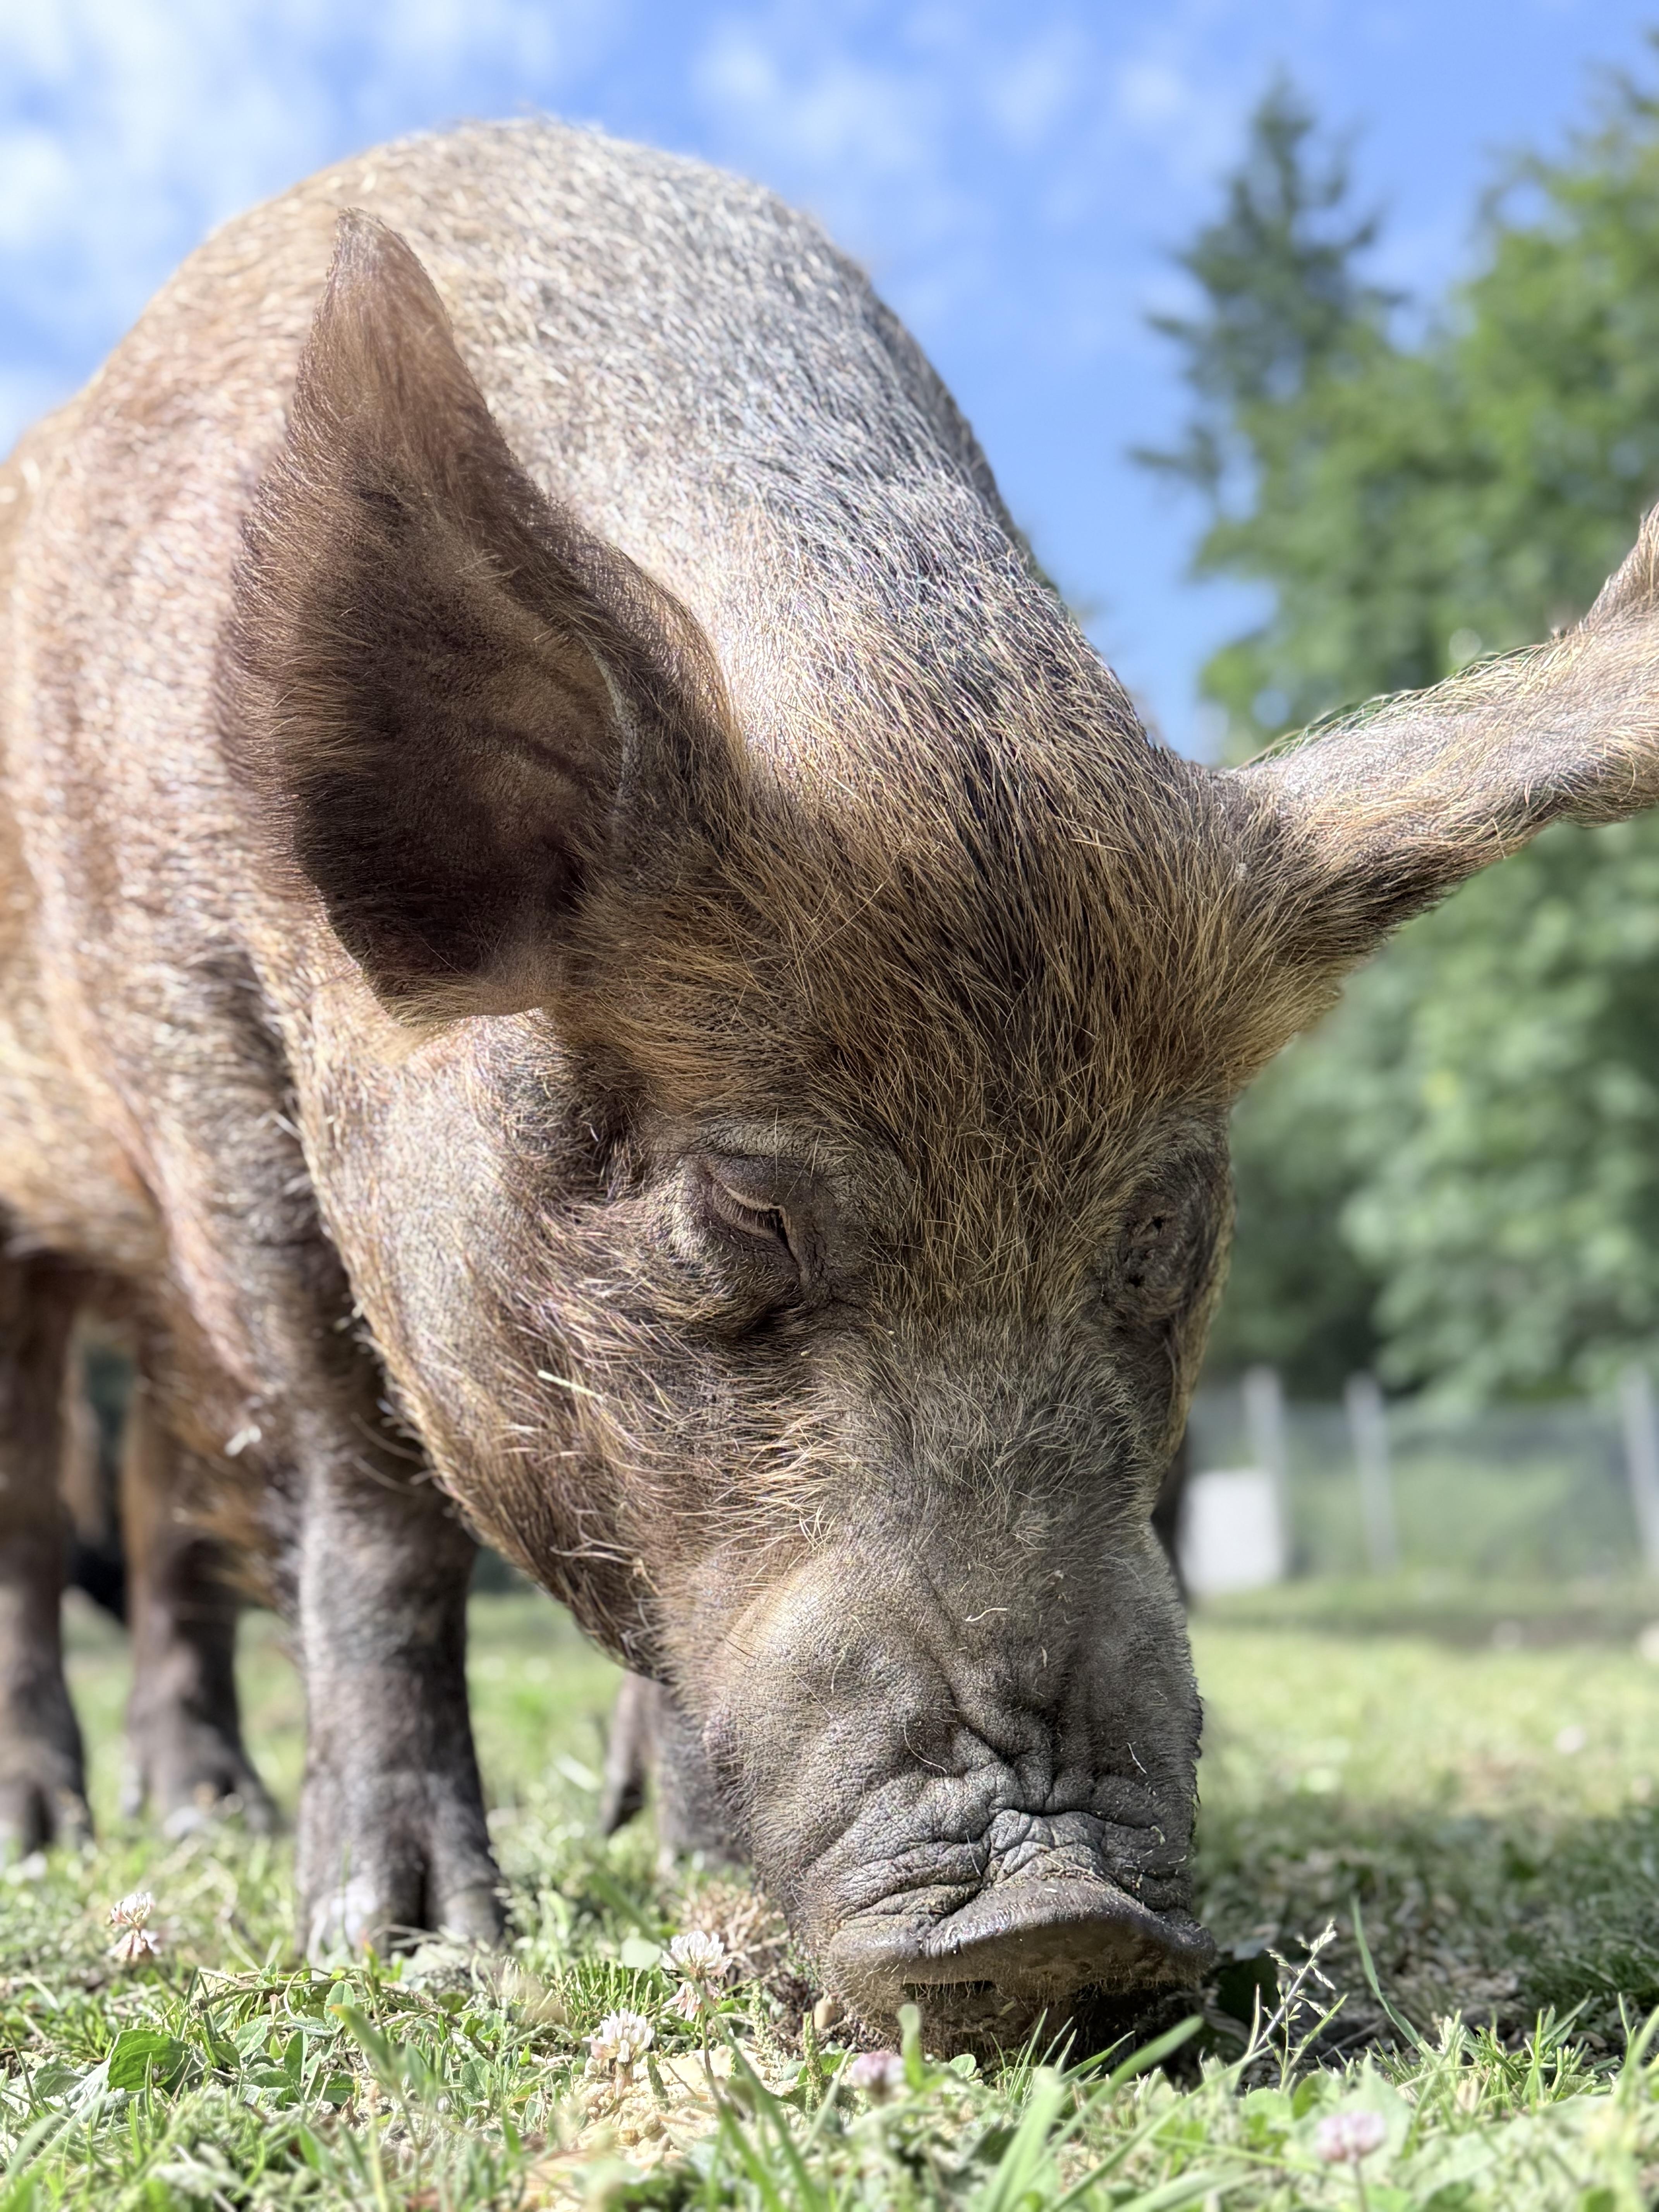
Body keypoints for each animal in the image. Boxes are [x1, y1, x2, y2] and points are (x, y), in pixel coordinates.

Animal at [2, 119, 1658, 2045]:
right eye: (740, 1206)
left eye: (1164, 1230)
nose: (1063, 1919)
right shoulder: (204, 1067)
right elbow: (371, 1510)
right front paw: (411, 1943)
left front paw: (677, 1847)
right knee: (51, 1516)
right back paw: (98, 1829)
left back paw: (210, 1811)